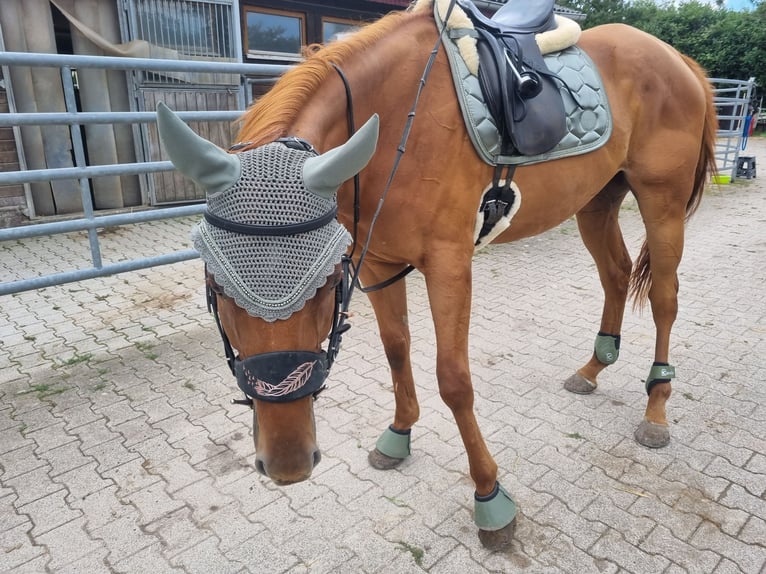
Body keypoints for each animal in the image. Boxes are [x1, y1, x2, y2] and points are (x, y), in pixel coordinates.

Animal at [156, 0, 720, 548]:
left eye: (326, 287)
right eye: (215, 288)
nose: (288, 463)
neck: (396, 121)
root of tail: (679, 60)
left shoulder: (449, 265)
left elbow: (453, 380)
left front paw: (490, 496)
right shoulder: (379, 261)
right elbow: (396, 350)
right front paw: (399, 433)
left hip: (662, 202)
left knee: (665, 296)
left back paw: (656, 409)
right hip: (597, 201)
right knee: (616, 275)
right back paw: (592, 369)